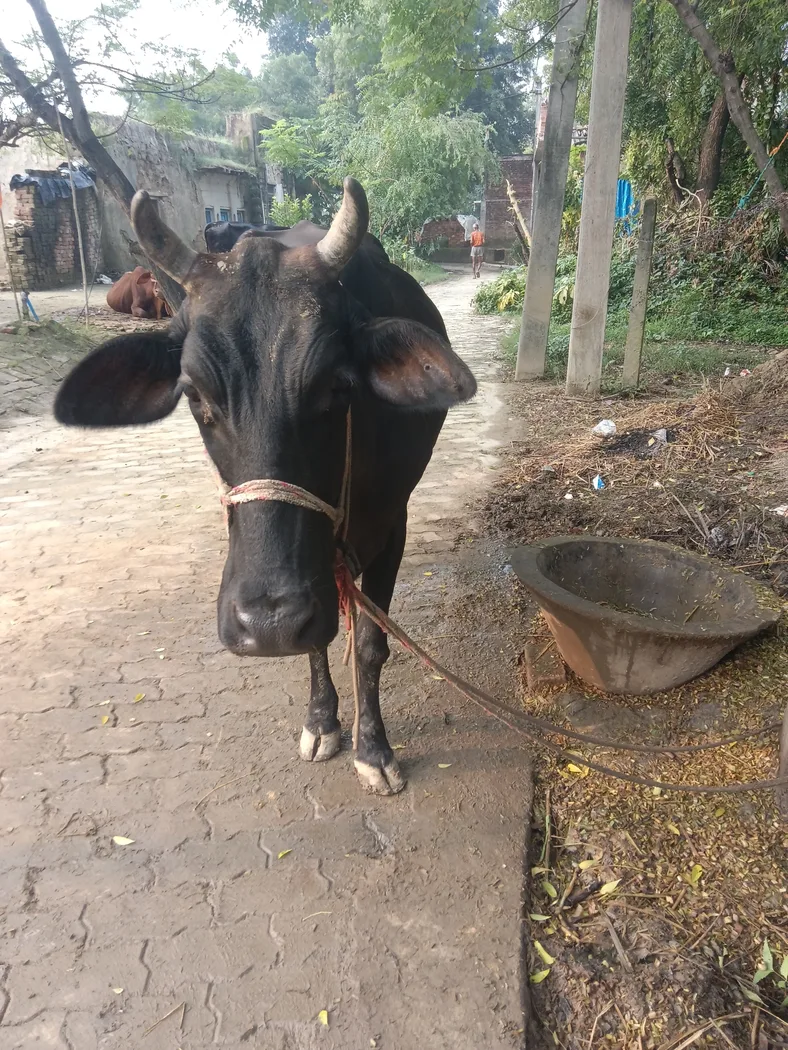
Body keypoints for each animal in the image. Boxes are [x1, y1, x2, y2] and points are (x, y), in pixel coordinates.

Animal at [54, 178, 476, 795]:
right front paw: (322, 722)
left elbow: (371, 644)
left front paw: (373, 749)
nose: (268, 625)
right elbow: (320, 639)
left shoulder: (392, 522)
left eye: (337, 387)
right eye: (194, 392)